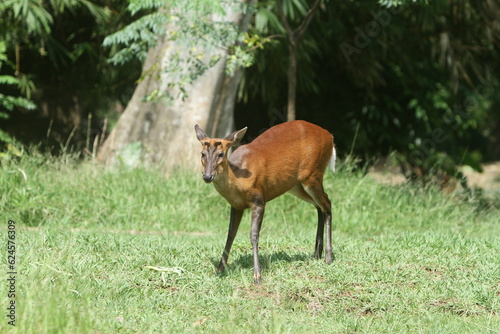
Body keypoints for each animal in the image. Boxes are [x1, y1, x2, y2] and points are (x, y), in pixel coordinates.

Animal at [195, 120, 336, 282]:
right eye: (202, 153)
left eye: (221, 154)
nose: (207, 176)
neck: (238, 180)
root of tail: (330, 136)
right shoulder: (236, 205)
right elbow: (231, 233)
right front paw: (219, 269)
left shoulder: (259, 199)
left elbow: (254, 235)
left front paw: (257, 275)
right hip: (295, 185)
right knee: (319, 206)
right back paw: (317, 253)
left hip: (313, 174)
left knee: (327, 202)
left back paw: (328, 257)